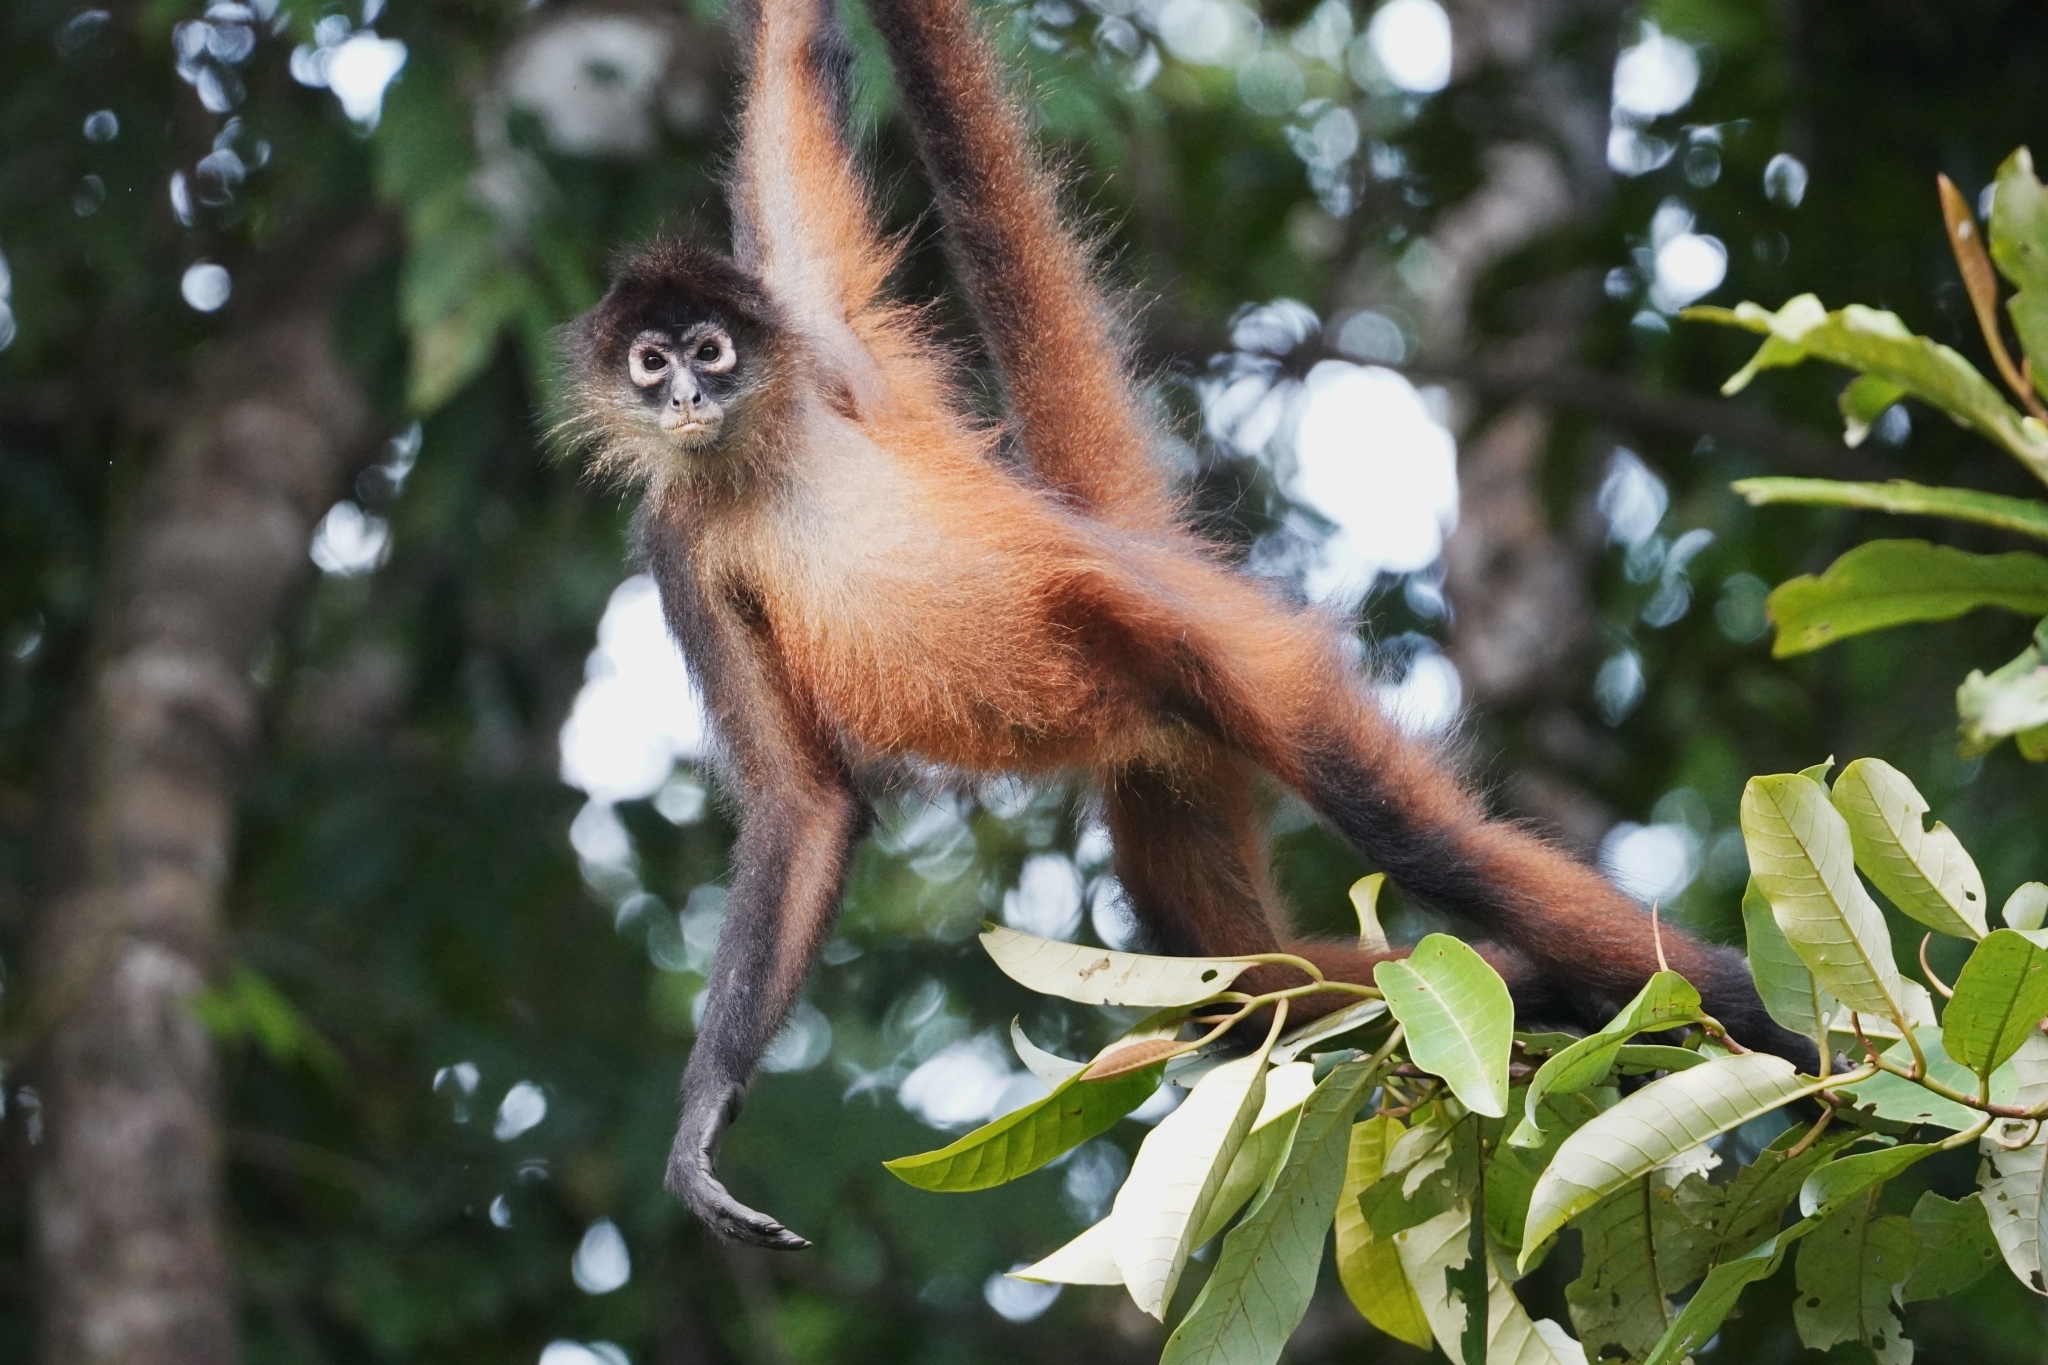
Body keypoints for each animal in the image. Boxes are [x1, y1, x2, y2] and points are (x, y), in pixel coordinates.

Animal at [569, 0, 1802, 1252]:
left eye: (709, 350)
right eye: (650, 361)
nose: (686, 397)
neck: (756, 456)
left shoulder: (823, 350)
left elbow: (793, 102)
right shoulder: (678, 540)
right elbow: (804, 801)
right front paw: (702, 1125)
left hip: (1237, 659)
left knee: (1417, 844)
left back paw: (1758, 1021)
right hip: (1169, 766)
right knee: (1249, 980)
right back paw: (1537, 992)